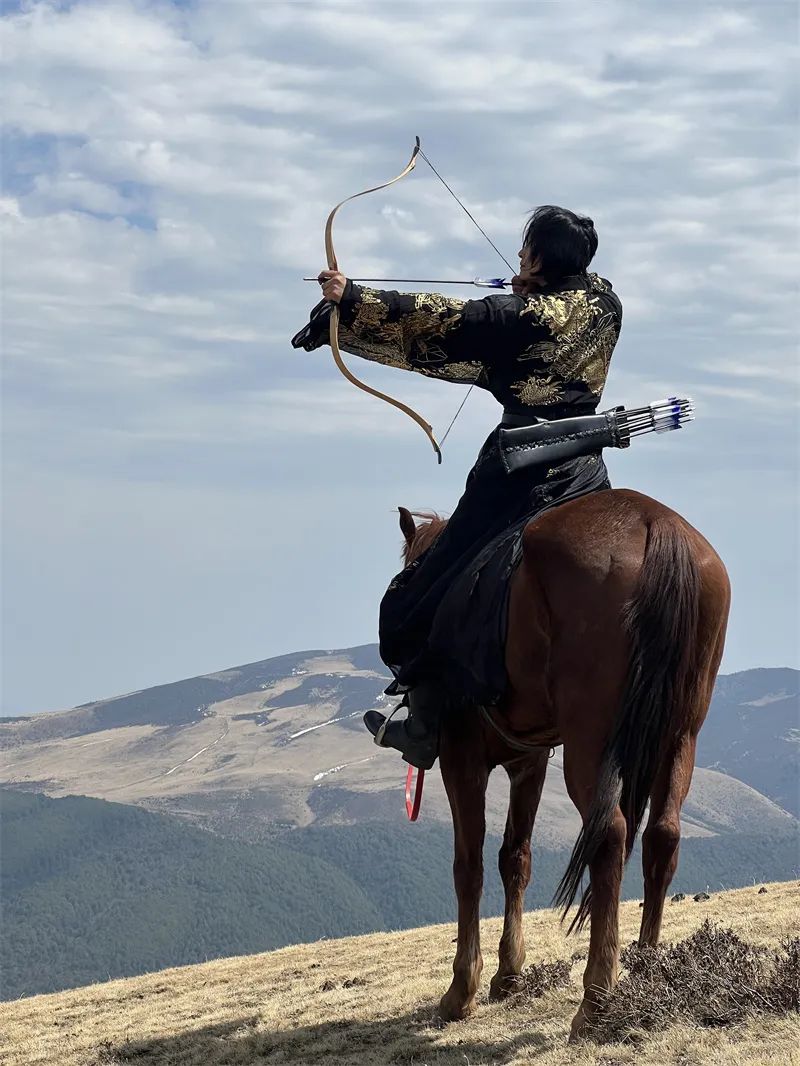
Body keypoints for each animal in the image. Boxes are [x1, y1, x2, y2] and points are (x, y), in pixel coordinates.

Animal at [398, 490, 729, 1040]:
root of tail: (658, 526)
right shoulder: (528, 763)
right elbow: (515, 858)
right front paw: (508, 976)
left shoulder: (461, 757)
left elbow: (468, 866)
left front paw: (462, 990)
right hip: (680, 734)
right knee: (662, 834)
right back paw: (646, 974)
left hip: (589, 744)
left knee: (610, 835)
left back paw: (595, 1002)